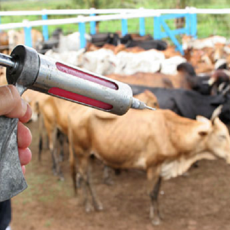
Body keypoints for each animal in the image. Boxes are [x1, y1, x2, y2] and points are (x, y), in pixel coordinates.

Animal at [67, 99, 230, 225]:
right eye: (222, 135)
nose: (229, 155)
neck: (171, 131)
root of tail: (74, 112)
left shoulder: (162, 167)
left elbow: (157, 192)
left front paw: (160, 214)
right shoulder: (153, 166)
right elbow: (151, 193)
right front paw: (154, 218)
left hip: (91, 155)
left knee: (87, 178)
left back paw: (97, 204)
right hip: (82, 152)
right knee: (84, 177)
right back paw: (88, 206)